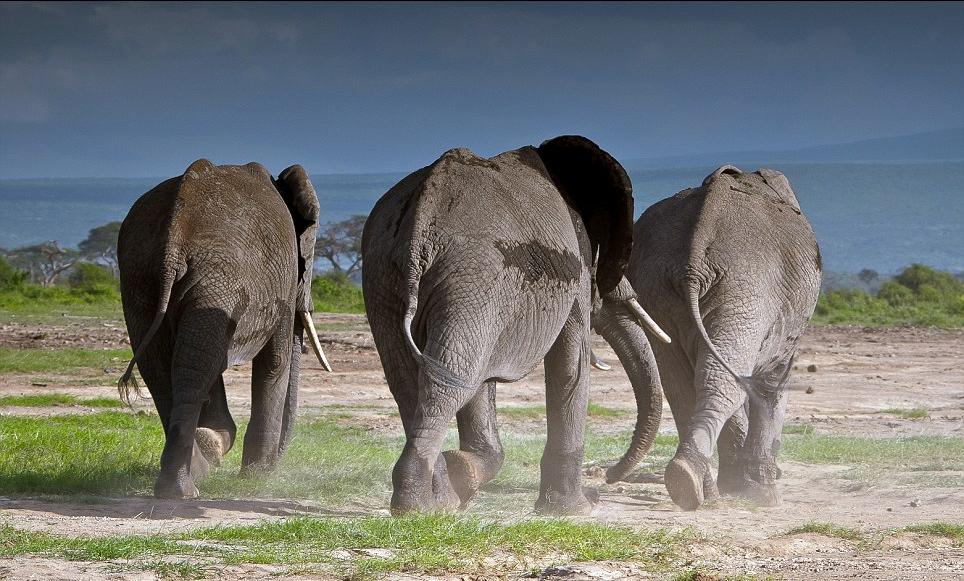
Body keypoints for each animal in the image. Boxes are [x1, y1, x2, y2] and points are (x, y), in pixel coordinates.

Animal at [117, 159, 332, 499]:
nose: (276, 465)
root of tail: (174, 238)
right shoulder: (283, 282)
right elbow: (276, 362)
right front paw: (258, 477)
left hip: (143, 277)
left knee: (169, 368)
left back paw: (189, 473)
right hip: (217, 276)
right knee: (189, 368)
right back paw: (185, 486)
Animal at [362, 135, 670, 515]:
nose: (610, 478)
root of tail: (421, 216)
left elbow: (485, 379)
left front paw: (464, 472)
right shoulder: (574, 266)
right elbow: (571, 363)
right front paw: (574, 510)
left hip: (390, 275)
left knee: (414, 377)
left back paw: (440, 502)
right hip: (471, 272)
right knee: (450, 377)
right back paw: (420, 509)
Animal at [608, 164, 821, 510]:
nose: (608, 476)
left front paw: (739, 486)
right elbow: (772, 385)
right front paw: (762, 495)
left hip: (662, 287)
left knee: (685, 384)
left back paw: (692, 486)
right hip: (747, 286)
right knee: (723, 379)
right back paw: (700, 486)